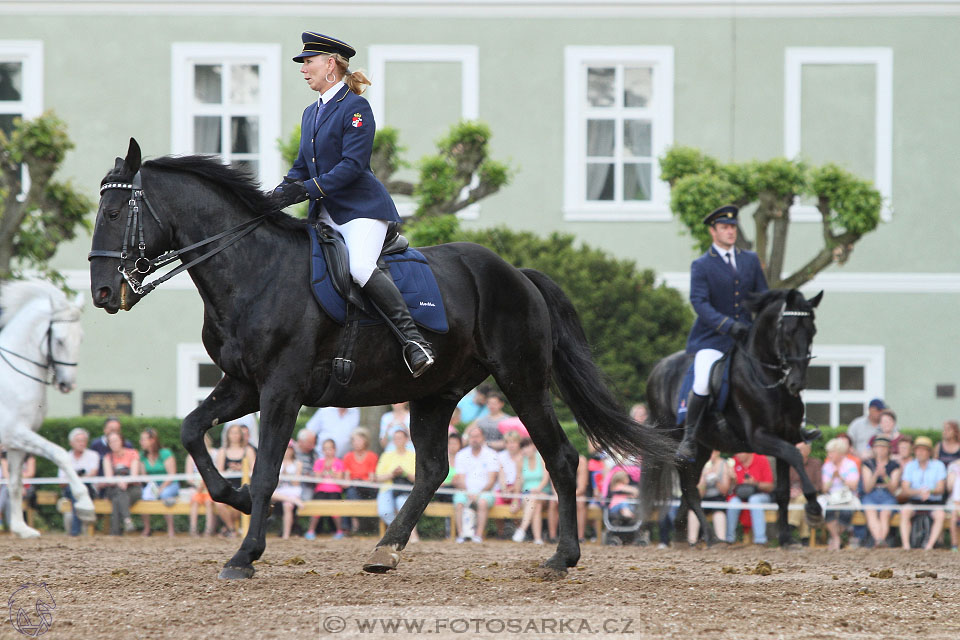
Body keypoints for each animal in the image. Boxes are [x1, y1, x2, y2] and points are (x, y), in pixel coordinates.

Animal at [0, 278, 94, 536]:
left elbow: (15, 483)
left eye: (81, 338)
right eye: (59, 340)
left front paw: (21, 529)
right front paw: (85, 504)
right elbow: (60, 454)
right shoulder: (14, 433)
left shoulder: (17, 442)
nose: (67, 384)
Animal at [92, 140, 676, 580]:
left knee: (561, 458)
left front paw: (244, 554)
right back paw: (385, 550)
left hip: (522, 381)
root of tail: (517, 273)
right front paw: (230, 497)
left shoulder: (281, 388)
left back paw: (562, 557)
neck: (252, 269)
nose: (102, 292)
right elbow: (192, 430)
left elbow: (266, 471)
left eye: (116, 213)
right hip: (435, 392)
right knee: (433, 469)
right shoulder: (242, 384)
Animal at [640, 288, 820, 544]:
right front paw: (813, 506)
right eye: (787, 331)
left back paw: (683, 536)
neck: (767, 379)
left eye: (812, 331)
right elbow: (795, 456)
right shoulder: (760, 437)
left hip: (703, 449)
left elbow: (784, 490)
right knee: (689, 488)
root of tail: (658, 368)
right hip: (676, 443)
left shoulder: (786, 436)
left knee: (689, 488)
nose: (797, 383)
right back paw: (710, 537)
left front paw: (786, 538)